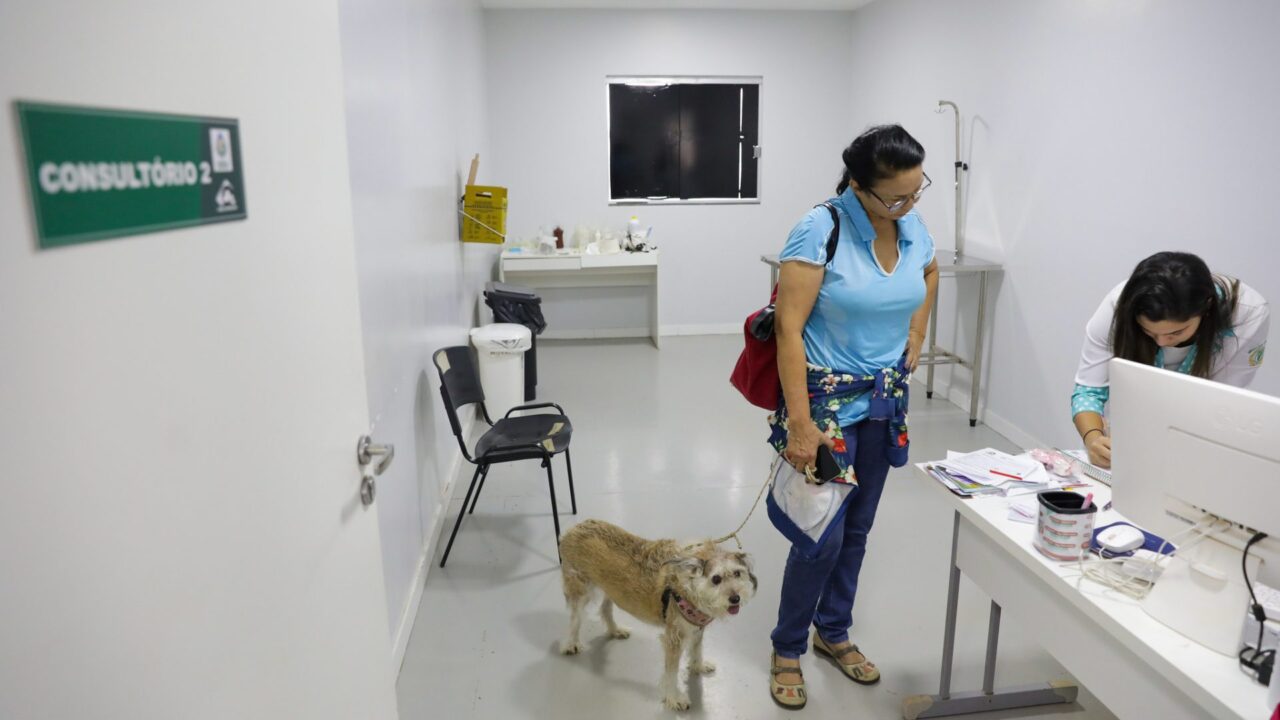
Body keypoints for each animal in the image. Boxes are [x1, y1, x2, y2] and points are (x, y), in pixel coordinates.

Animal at [558, 519, 757, 711]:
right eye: (716, 579)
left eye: (737, 573)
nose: (735, 598)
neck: (691, 583)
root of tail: (575, 527)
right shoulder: (674, 639)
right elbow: (671, 672)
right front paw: (674, 698)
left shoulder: (696, 629)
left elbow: (697, 650)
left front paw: (698, 666)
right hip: (580, 590)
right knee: (575, 619)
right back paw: (571, 644)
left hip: (611, 588)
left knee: (605, 609)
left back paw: (615, 630)